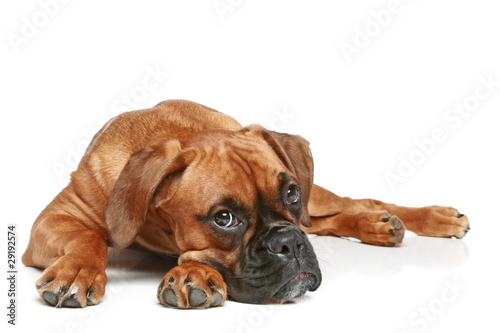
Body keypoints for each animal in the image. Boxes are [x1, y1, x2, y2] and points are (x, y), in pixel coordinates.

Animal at [21, 99, 470, 308]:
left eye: (290, 193)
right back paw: (380, 225)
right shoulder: (52, 222)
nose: (288, 242)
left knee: (353, 202)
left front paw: (192, 272)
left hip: (318, 200)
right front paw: (78, 271)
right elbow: (88, 238)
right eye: (224, 218)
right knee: (328, 220)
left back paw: (424, 219)